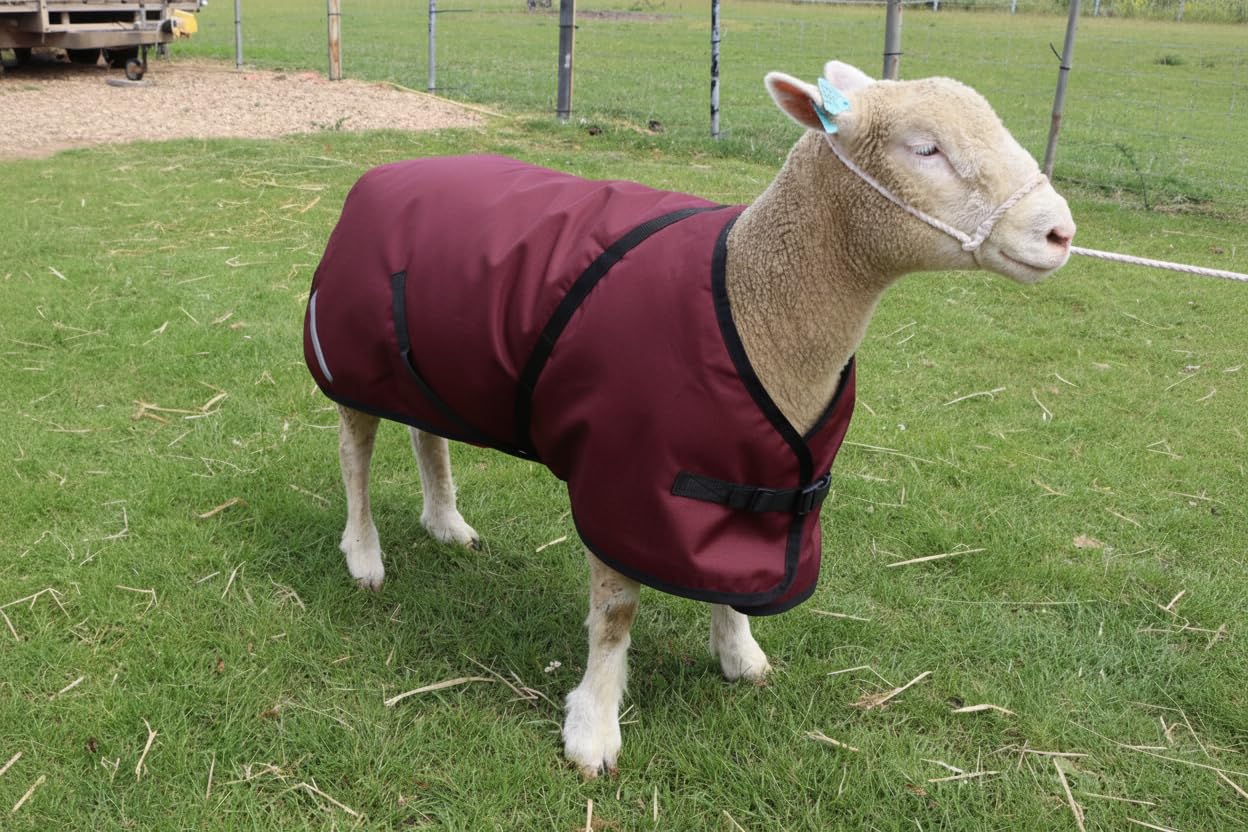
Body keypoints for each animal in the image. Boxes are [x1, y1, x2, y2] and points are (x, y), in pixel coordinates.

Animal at [303, 60, 1076, 779]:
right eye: (924, 149)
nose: (1060, 231)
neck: (753, 298)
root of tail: (388, 170)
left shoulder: (752, 474)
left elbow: (734, 574)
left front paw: (739, 655)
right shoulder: (623, 477)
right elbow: (615, 614)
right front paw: (593, 730)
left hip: (432, 364)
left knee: (425, 430)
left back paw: (446, 522)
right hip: (352, 354)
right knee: (354, 448)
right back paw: (364, 554)